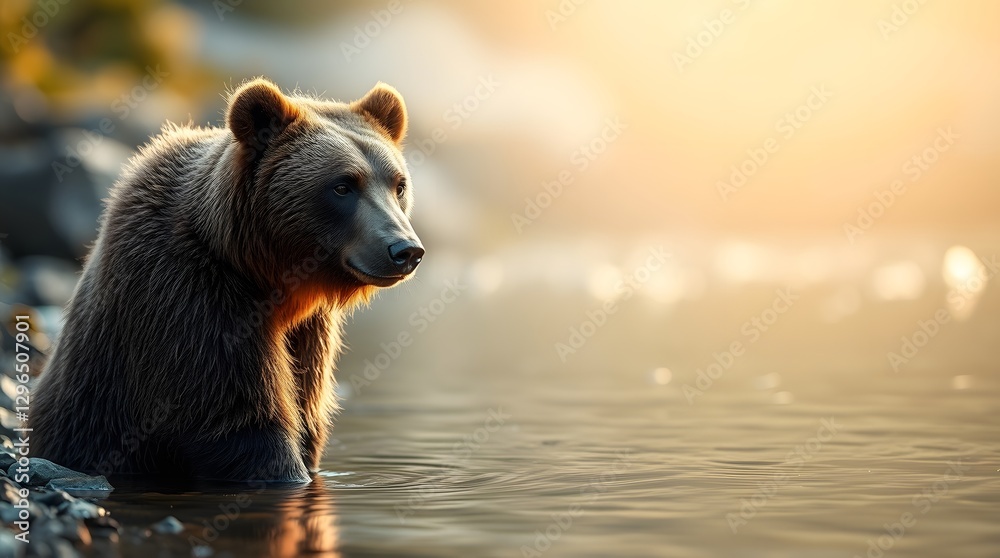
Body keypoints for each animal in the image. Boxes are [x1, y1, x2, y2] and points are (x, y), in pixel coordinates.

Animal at [29, 78, 424, 482]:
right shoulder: (188, 295)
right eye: (343, 185)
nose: (405, 249)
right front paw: (284, 468)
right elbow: (239, 416)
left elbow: (305, 409)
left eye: (398, 185)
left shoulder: (310, 331)